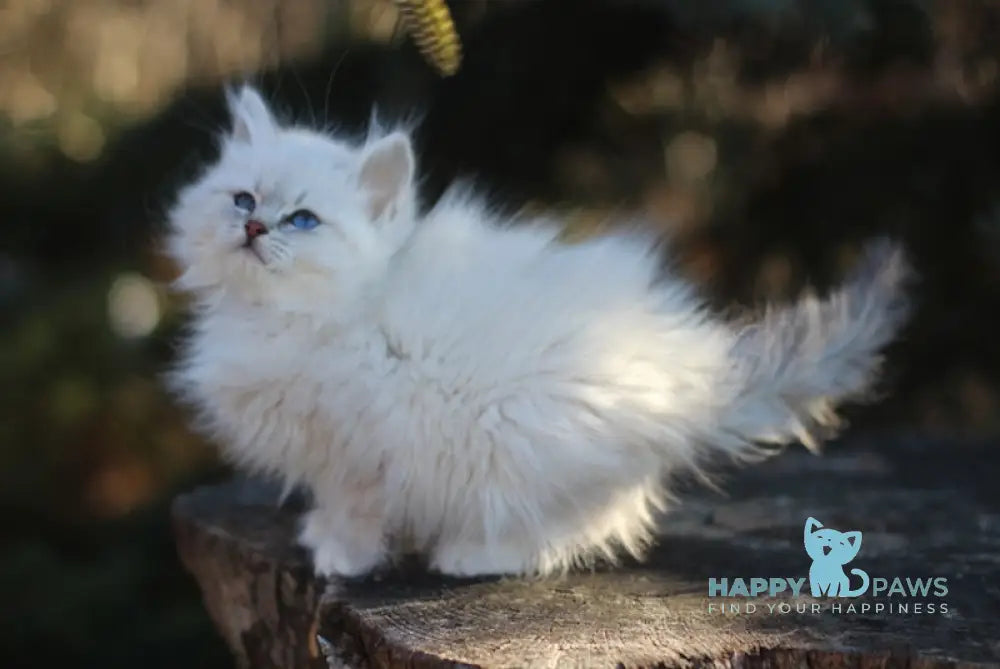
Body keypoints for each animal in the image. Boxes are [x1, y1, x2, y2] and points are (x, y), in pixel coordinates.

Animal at [166, 86, 916, 576]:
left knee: (565, 531)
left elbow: (355, 514)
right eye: (242, 198)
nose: (253, 226)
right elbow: (328, 502)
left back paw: (467, 556)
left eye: (303, 220)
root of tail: (698, 376)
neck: (302, 317)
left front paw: (339, 558)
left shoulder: (358, 452)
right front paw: (319, 534)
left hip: (519, 435)